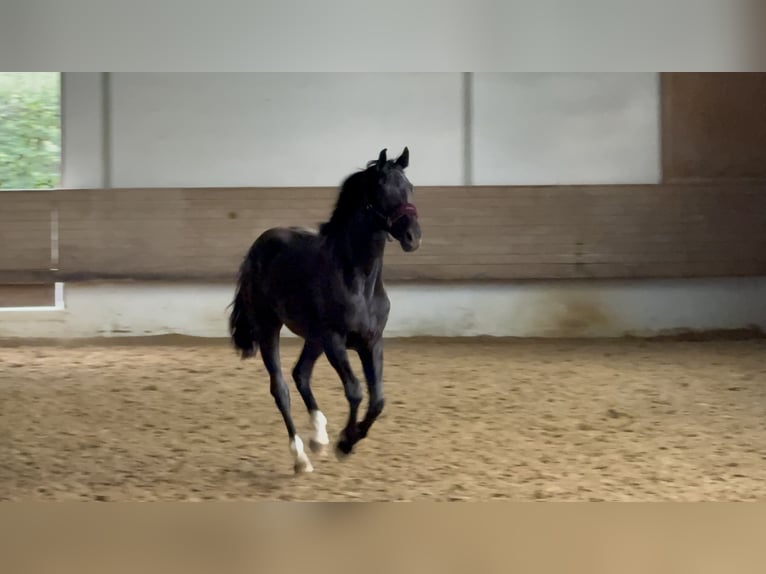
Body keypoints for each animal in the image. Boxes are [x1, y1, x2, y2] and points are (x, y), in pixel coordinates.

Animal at [229, 147, 421, 474]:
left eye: (409, 187)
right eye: (381, 188)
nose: (413, 237)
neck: (357, 279)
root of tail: (257, 248)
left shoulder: (371, 342)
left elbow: (378, 400)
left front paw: (345, 441)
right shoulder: (334, 340)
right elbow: (355, 390)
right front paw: (344, 442)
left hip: (313, 338)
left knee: (300, 374)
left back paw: (319, 437)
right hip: (270, 328)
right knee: (281, 387)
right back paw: (301, 457)